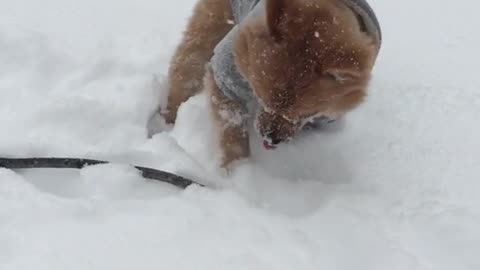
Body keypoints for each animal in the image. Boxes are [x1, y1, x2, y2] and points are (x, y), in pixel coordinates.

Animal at [163, 0, 380, 168]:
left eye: (303, 114)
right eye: (262, 100)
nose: (270, 139)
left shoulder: (326, 116)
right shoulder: (227, 75)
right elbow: (232, 128)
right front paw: (238, 169)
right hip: (213, 22)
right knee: (187, 62)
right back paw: (169, 119)